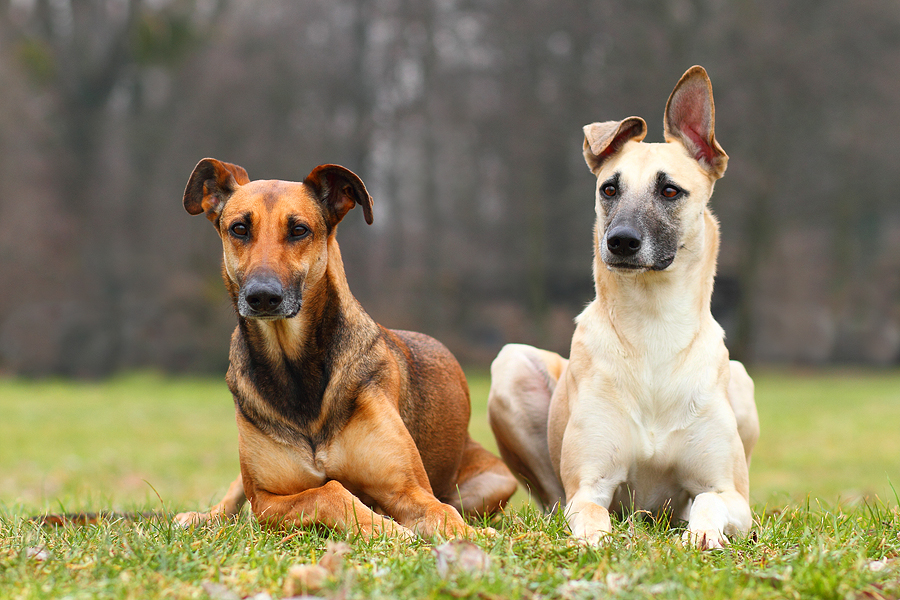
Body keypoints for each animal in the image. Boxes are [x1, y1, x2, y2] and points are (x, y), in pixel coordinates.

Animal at [176, 157, 516, 536]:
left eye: (299, 230)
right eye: (238, 229)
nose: (262, 296)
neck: (294, 366)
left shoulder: (410, 489)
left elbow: (443, 514)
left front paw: (472, 537)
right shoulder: (266, 500)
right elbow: (329, 491)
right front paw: (389, 529)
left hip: (495, 481)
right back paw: (200, 517)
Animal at [488, 65, 756, 548]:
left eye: (670, 191)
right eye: (609, 189)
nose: (621, 242)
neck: (654, 326)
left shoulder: (732, 495)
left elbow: (709, 501)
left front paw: (702, 535)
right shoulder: (589, 487)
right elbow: (592, 514)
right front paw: (597, 542)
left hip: (741, 381)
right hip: (512, 364)